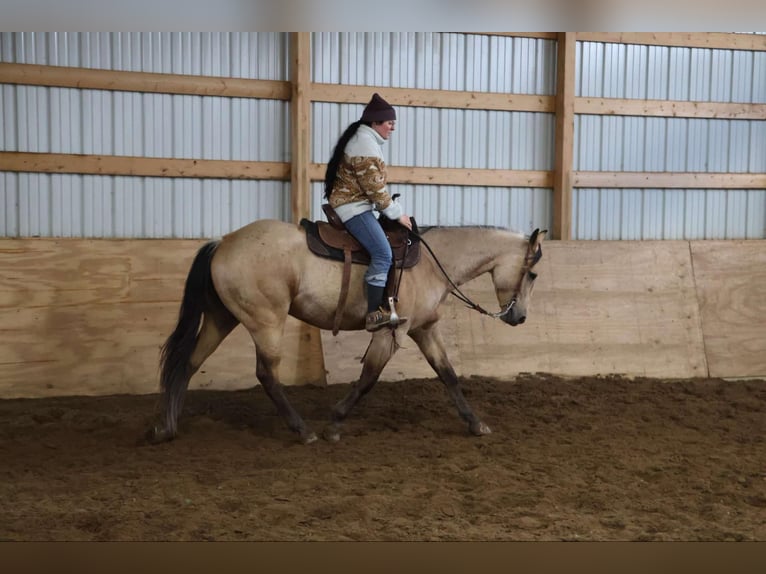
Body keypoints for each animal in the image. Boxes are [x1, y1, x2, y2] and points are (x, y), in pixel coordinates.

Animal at [147, 218, 546, 445]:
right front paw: (334, 424)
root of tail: (223, 243)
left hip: (222, 319)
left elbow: (448, 375)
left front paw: (476, 424)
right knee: (266, 374)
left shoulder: (424, 329)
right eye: (533, 273)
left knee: (188, 363)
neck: (433, 265)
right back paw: (303, 431)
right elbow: (368, 378)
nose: (520, 317)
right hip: (266, 321)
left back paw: (167, 427)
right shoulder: (391, 332)